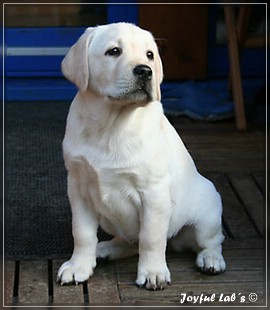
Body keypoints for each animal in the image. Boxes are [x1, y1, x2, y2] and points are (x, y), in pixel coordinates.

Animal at [57, 22, 226, 290]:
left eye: (150, 55)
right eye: (114, 51)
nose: (145, 72)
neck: (111, 124)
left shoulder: (153, 193)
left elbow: (151, 237)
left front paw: (153, 272)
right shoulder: (78, 186)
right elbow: (82, 233)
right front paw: (78, 266)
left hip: (207, 211)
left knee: (211, 240)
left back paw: (211, 260)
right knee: (129, 242)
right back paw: (105, 249)